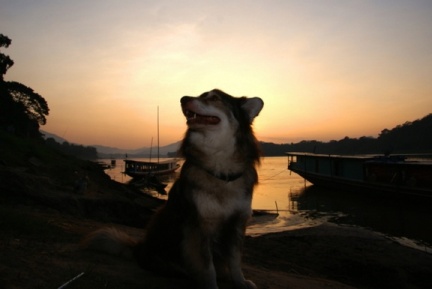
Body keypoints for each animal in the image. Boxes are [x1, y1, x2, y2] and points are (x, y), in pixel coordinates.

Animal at [82, 89, 262, 286]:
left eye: (214, 98)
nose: (183, 99)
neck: (221, 171)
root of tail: (139, 250)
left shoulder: (237, 223)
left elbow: (235, 261)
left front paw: (241, 282)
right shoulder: (198, 226)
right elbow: (208, 268)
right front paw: (211, 284)